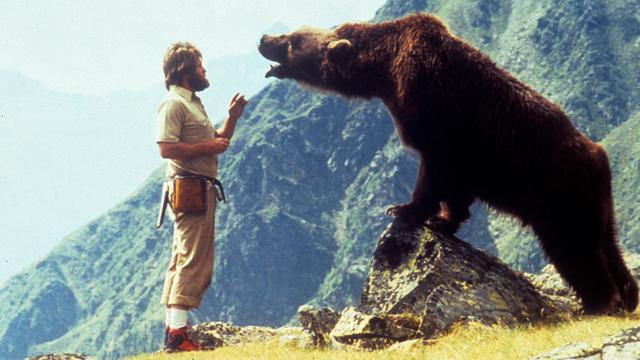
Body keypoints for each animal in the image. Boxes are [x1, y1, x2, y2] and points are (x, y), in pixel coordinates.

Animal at [258, 12, 636, 314]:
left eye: (291, 40)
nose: (264, 39)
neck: (384, 69)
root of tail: (598, 155)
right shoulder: (457, 149)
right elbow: (455, 190)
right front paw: (443, 220)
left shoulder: (429, 105)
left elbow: (433, 172)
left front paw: (404, 208)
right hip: (599, 203)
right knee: (608, 245)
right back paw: (628, 294)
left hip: (559, 195)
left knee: (575, 251)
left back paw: (599, 303)